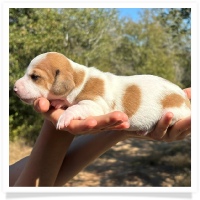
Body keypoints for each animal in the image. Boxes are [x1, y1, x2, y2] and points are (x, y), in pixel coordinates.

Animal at [14, 51, 191, 134]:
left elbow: (74, 107)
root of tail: (186, 102)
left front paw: (64, 117)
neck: (80, 79)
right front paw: (58, 102)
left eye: (35, 77)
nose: (14, 88)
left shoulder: (94, 105)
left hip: (173, 114)